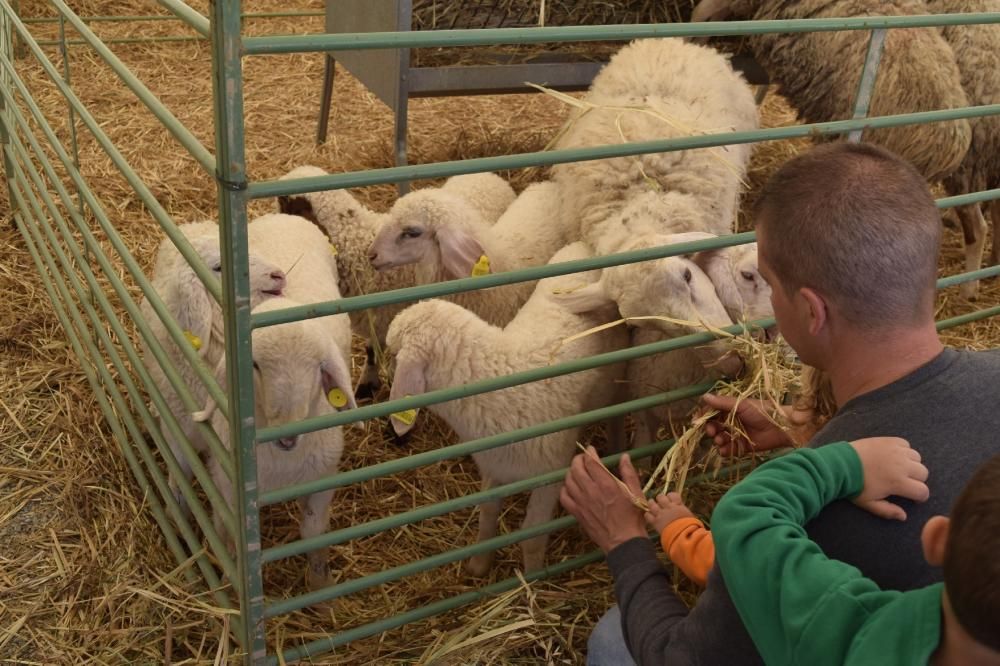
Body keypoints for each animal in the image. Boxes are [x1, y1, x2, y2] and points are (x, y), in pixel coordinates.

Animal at [138, 220, 286, 506]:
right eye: (219, 268)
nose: (278, 275)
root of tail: (193, 224)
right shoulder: (178, 432)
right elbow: (180, 472)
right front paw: (179, 501)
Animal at [382, 241, 624, 572]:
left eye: (394, 354)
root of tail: (583, 245)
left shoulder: (549, 474)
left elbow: (532, 536)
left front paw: (534, 577)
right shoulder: (494, 466)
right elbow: (486, 517)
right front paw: (479, 565)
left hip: (613, 378)